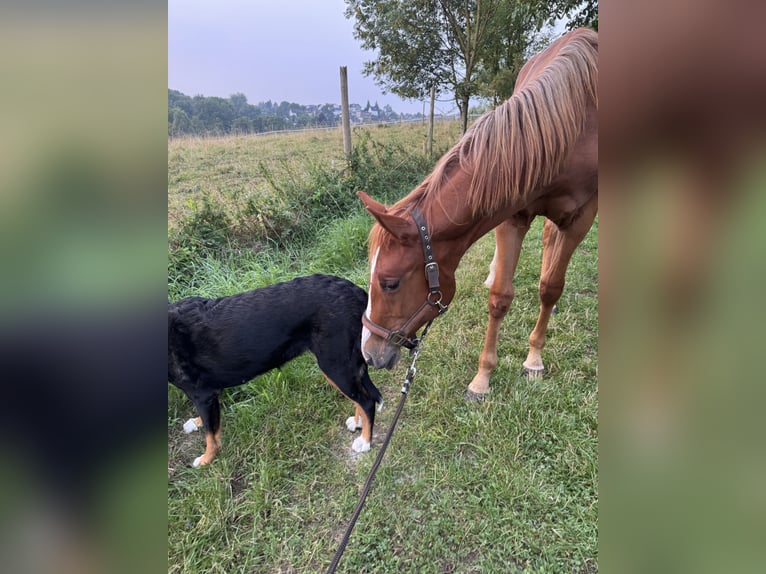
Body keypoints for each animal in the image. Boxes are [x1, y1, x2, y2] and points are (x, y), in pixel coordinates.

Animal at [359, 28, 598, 397]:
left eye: (390, 283)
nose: (369, 353)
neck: (569, 127)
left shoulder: (581, 219)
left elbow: (550, 287)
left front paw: (533, 359)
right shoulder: (513, 213)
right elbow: (500, 296)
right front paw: (482, 378)